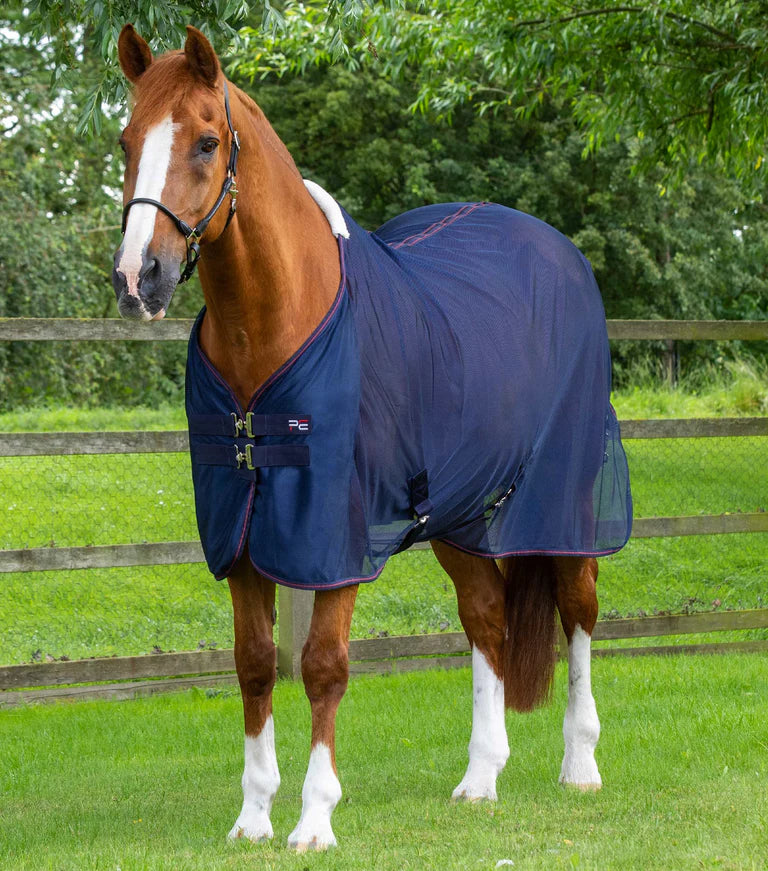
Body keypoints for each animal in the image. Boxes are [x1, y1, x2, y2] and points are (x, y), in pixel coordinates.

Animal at [111, 25, 631, 851]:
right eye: (127, 139)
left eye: (205, 141)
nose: (139, 278)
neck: (280, 321)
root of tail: (561, 253)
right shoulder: (245, 533)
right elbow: (255, 663)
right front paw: (253, 817)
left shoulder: (333, 536)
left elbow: (323, 665)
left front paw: (314, 819)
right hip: (459, 514)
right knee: (485, 616)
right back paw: (480, 777)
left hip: (563, 502)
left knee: (579, 610)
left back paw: (580, 764)